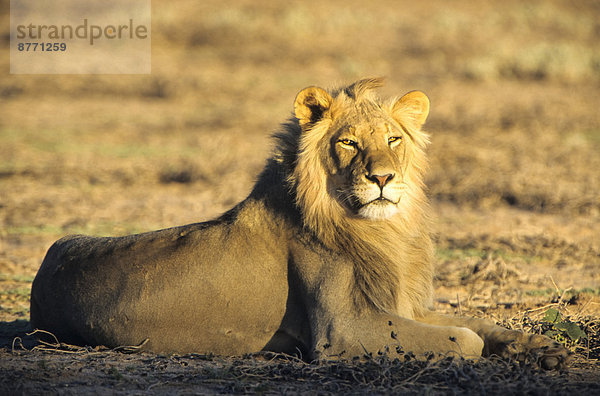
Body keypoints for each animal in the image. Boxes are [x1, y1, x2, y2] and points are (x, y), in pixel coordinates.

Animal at [29, 79, 568, 370]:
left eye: (394, 138)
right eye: (348, 142)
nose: (382, 178)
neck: (383, 231)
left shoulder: (398, 306)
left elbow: (477, 321)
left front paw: (542, 349)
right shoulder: (345, 330)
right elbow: (465, 339)